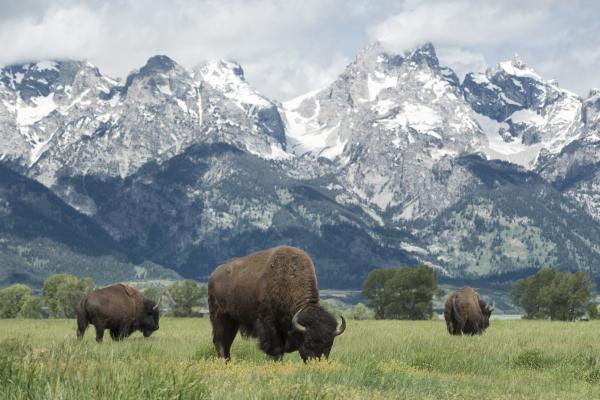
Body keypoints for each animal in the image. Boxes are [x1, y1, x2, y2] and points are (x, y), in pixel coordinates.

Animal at [209, 245, 346, 360]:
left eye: (330, 344)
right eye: (308, 342)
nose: (317, 361)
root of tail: (214, 275)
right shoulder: (269, 324)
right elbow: (276, 349)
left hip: (233, 321)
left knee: (227, 342)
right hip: (220, 317)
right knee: (220, 341)